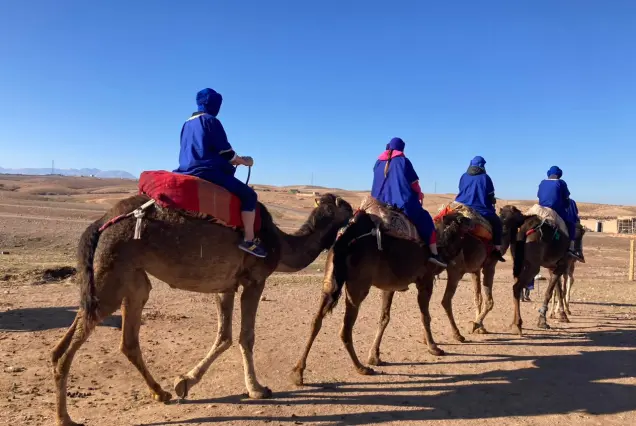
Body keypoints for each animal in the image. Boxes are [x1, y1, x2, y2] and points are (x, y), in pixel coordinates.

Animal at [51, 193, 352, 426]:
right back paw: (65, 418)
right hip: (112, 270)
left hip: (130, 278)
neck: (281, 244)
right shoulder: (255, 279)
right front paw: (257, 389)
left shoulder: (226, 285)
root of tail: (101, 221)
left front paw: (184, 382)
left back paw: (160, 393)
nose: (356, 213)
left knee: (121, 339)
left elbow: (224, 337)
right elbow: (246, 337)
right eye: (345, 207)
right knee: (71, 347)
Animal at [290, 207, 470, 386]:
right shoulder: (425, 280)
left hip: (330, 281)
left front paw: (374, 356)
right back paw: (361, 368)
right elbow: (425, 316)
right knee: (345, 328)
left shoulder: (389, 287)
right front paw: (434, 347)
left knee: (316, 320)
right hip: (358, 286)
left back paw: (298, 372)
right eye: (463, 220)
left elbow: (384, 318)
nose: (471, 220)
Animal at [500, 205, 572, 334]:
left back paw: (514, 323)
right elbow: (550, 292)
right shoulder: (561, 265)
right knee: (516, 287)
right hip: (534, 266)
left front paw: (562, 315)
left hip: (518, 263)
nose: (503, 230)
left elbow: (557, 289)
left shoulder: (553, 266)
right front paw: (543, 321)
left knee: (516, 287)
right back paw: (518, 324)